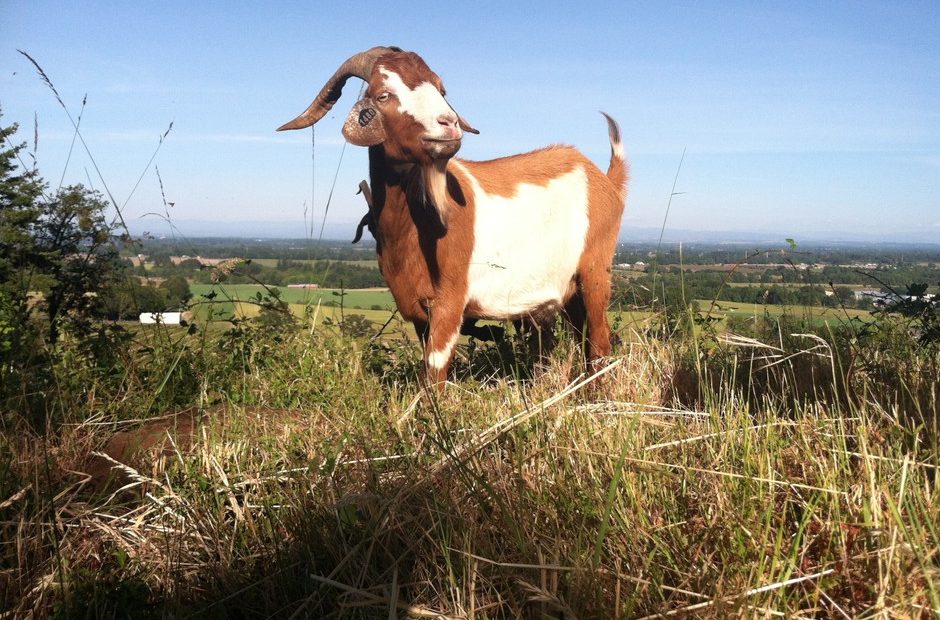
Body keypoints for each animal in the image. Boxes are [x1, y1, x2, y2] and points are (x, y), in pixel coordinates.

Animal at [280, 46, 632, 386]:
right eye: (383, 95)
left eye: (440, 89)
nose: (448, 123)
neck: (411, 225)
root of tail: (602, 178)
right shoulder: (417, 310)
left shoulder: (451, 298)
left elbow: (435, 370)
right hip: (568, 289)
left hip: (595, 271)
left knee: (599, 343)